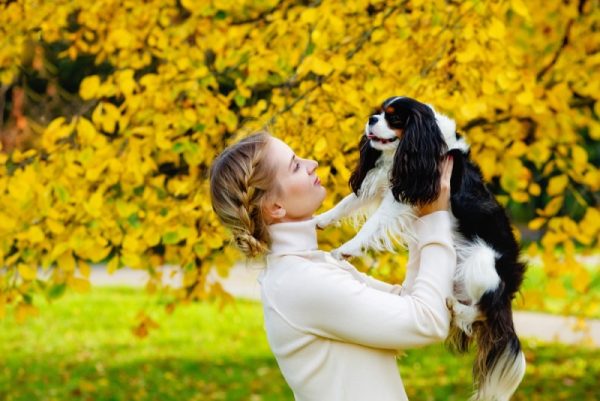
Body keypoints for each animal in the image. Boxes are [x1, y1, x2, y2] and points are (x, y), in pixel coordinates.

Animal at [316, 96, 528, 400]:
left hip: (481, 262)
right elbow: (346, 203)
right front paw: (319, 220)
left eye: (394, 118)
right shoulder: (389, 184)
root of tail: (510, 285)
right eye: (378, 112)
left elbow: (372, 225)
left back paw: (457, 308)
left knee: (484, 308)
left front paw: (348, 248)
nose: (370, 119)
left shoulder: (405, 194)